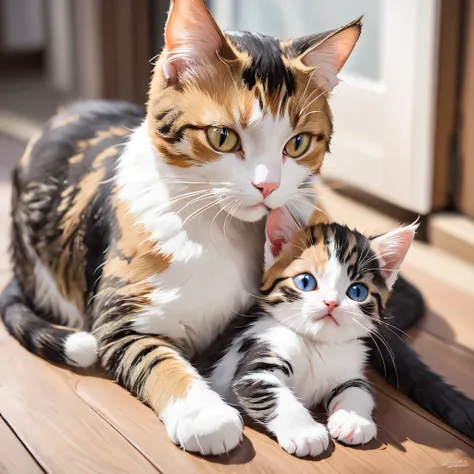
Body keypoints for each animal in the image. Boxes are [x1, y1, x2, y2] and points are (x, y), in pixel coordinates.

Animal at [206, 209, 416, 458]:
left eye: (357, 292)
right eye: (305, 281)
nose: (331, 302)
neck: (317, 344)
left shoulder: (349, 369)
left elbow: (359, 389)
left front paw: (353, 420)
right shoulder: (257, 362)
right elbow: (276, 395)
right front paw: (305, 433)